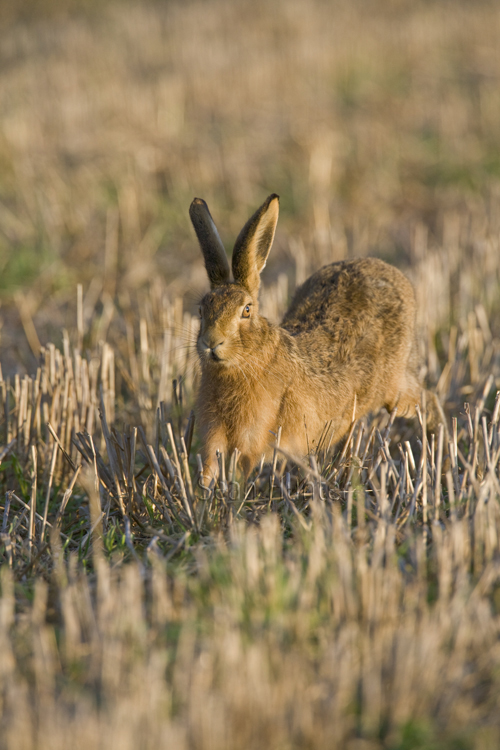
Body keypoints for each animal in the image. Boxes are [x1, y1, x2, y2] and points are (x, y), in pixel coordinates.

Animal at [189, 193, 448, 482]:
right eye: (201, 310)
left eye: (246, 310)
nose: (211, 342)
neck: (248, 359)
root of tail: (393, 273)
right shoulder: (214, 433)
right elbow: (210, 465)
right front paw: (203, 491)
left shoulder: (251, 437)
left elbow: (240, 469)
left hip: (395, 388)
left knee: (428, 401)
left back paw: (442, 458)